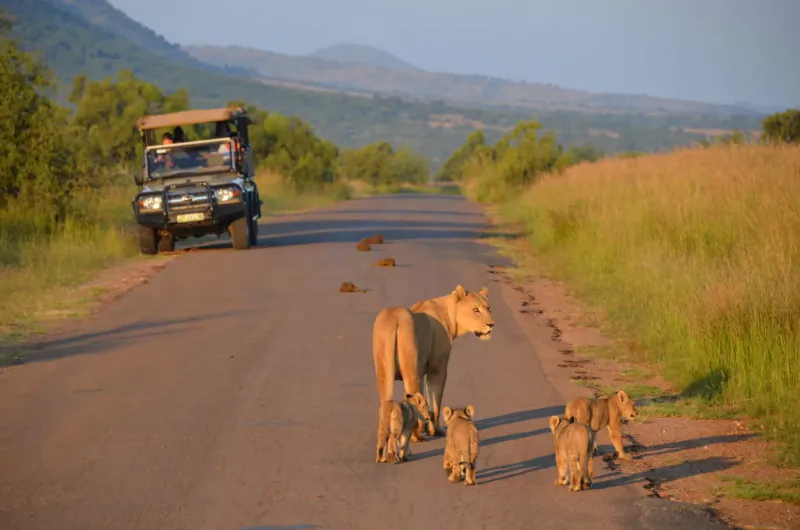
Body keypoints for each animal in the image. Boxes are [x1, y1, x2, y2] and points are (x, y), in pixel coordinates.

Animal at [372, 285, 495, 441]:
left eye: (488, 308)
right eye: (476, 310)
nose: (491, 324)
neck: (449, 313)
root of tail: (394, 317)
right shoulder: (437, 368)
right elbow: (435, 401)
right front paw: (436, 430)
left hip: (384, 373)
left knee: (385, 402)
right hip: (411, 371)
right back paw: (416, 436)